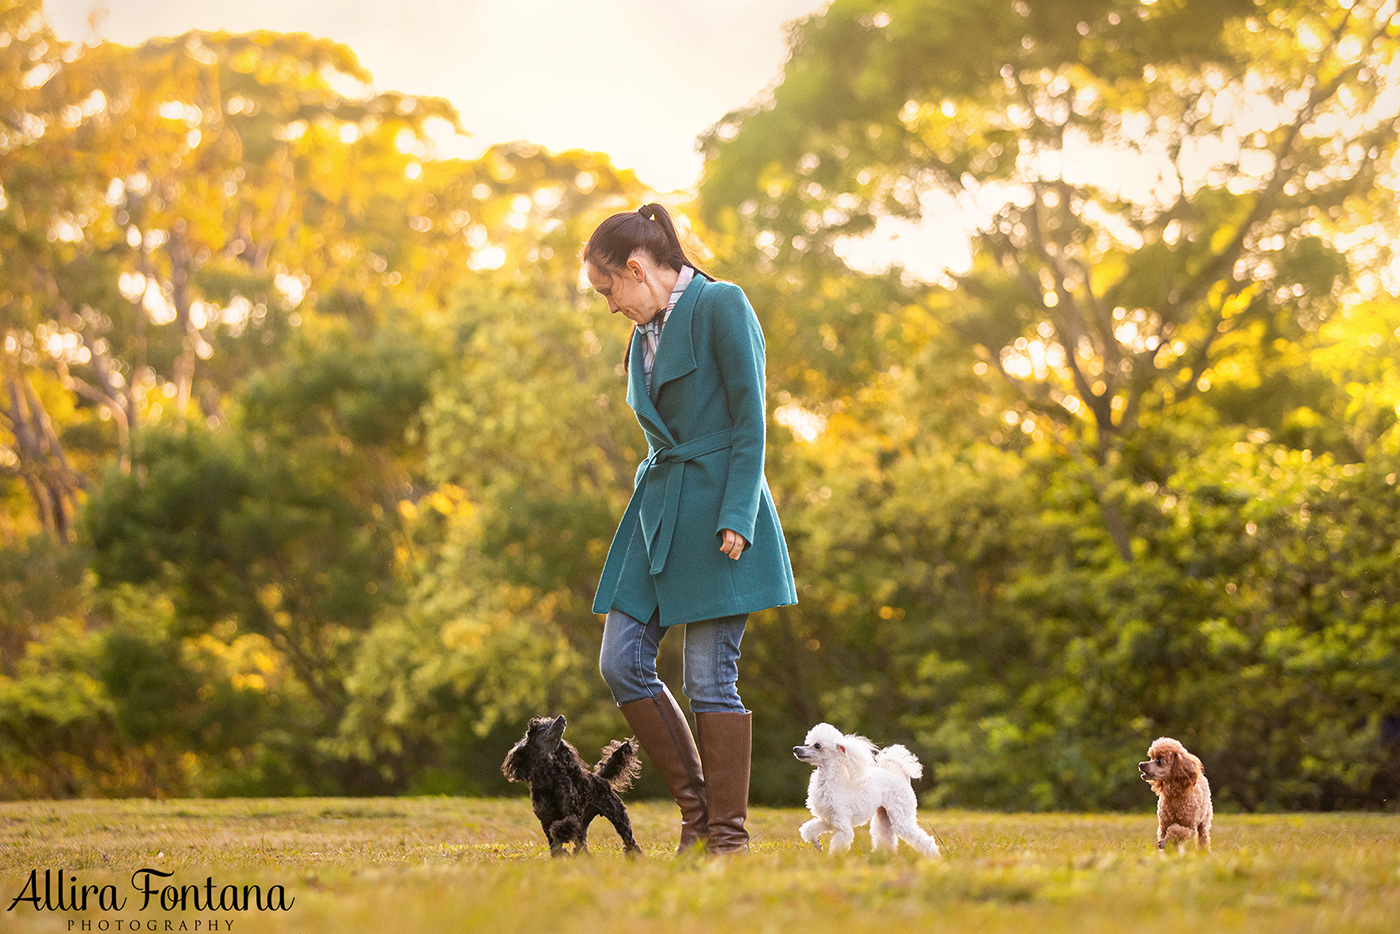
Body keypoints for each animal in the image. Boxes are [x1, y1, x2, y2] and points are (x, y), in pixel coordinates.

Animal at [501, 722, 641, 856]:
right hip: (584, 822)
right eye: (540, 727)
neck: (547, 781)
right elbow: (552, 838)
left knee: (629, 840)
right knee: (581, 843)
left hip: (618, 816)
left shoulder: (571, 814)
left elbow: (560, 830)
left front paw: (559, 849)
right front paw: (558, 854)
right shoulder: (545, 820)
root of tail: (601, 778)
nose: (561, 718)